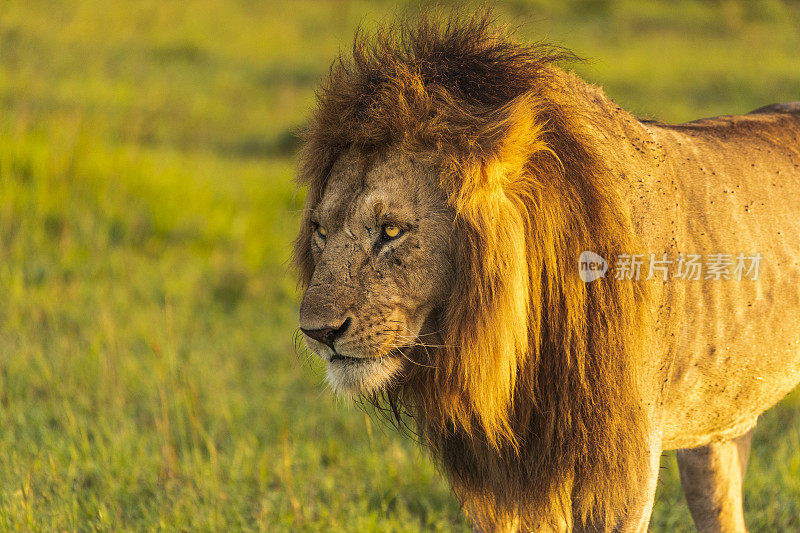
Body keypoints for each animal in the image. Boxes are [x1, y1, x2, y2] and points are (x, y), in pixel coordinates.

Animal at [292, 13, 800, 532]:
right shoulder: (501, 474)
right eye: (320, 230)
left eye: (391, 230)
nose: (317, 332)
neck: (510, 344)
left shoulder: (625, 461)